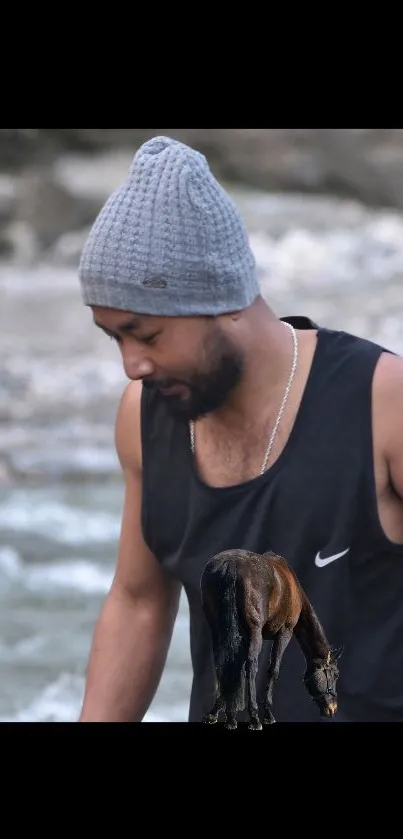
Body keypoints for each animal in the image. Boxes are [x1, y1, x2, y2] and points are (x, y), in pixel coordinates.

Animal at [200, 552, 342, 728]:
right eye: (335, 675)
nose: (332, 709)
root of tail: (231, 565)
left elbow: (235, 668)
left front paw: (219, 712)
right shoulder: (285, 632)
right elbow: (273, 669)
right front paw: (267, 714)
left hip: (217, 629)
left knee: (223, 664)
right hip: (255, 633)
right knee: (251, 667)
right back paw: (254, 718)